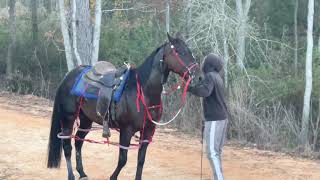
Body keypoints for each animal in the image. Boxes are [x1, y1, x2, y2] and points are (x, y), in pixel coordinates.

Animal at [47, 33, 202, 179]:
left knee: (78, 142)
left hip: (86, 119)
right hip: (68, 117)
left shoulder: (147, 131)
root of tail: (69, 76)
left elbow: (141, 160)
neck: (143, 91)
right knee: (67, 146)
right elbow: (123, 159)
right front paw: (112, 177)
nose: (199, 76)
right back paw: (71, 175)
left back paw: (82, 173)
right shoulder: (126, 130)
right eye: (179, 52)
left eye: (189, 51)